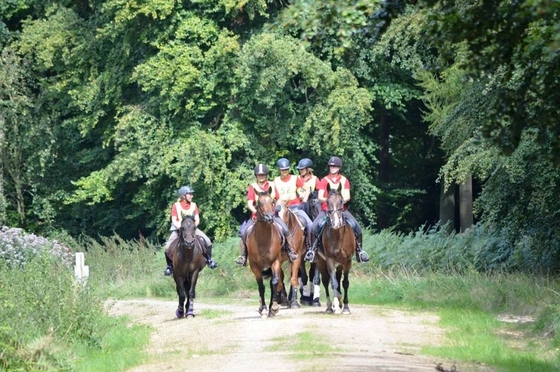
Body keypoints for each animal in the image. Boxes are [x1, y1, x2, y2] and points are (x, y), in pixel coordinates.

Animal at [246, 190, 284, 318]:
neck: (264, 239)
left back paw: (273, 308)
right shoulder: (254, 266)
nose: (269, 218)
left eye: (272, 202)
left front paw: (274, 307)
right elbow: (261, 286)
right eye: (259, 203)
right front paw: (262, 308)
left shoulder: (275, 262)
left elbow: (274, 283)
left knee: (274, 284)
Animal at [316, 186, 354, 314]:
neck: (338, 235)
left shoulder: (347, 261)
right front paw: (336, 305)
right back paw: (329, 306)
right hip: (320, 261)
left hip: (341, 263)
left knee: (338, 277)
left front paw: (346, 307)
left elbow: (345, 283)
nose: (336, 222)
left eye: (341, 201)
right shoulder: (330, 260)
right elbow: (333, 283)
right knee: (326, 280)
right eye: (327, 202)